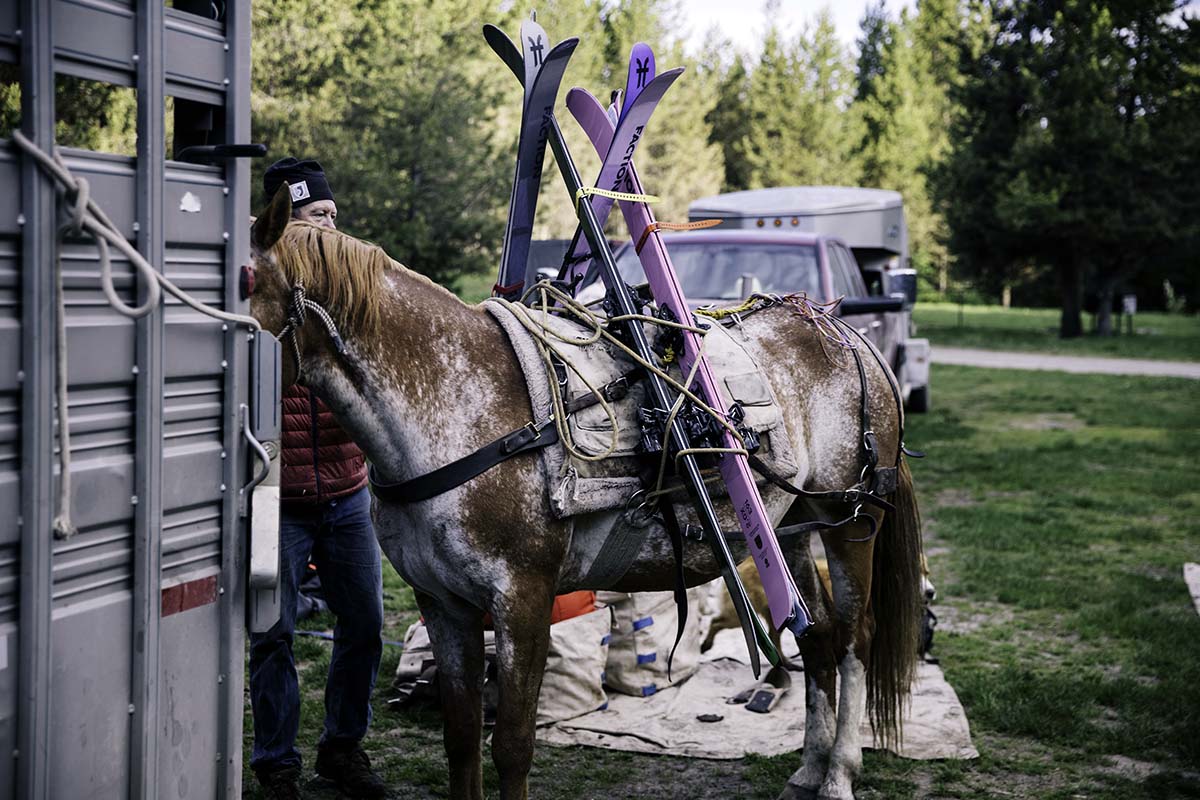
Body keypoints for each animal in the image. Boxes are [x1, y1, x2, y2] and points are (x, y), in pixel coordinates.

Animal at [248, 189, 921, 800]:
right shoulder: (443, 602)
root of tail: (843, 330)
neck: (455, 406)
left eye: (243, 281)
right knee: (818, 637)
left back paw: (837, 775)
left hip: (848, 521)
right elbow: (461, 738)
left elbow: (512, 745)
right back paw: (808, 768)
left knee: (856, 639)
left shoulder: (522, 600)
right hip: (791, 531)